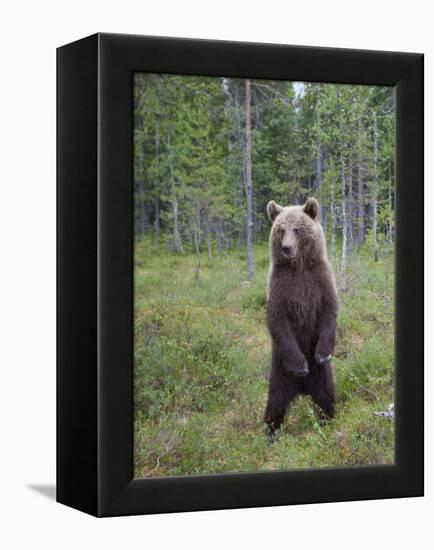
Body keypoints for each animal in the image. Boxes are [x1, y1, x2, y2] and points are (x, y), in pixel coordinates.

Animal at [262, 198, 338, 440]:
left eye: (297, 228)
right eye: (280, 229)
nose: (286, 248)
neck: (300, 266)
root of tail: (303, 389)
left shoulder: (320, 280)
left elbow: (329, 311)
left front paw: (322, 353)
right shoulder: (280, 286)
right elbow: (277, 319)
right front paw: (300, 364)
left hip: (322, 376)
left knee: (326, 398)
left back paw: (328, 421)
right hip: (279, 372)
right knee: (275, 404)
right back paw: (269, 433)